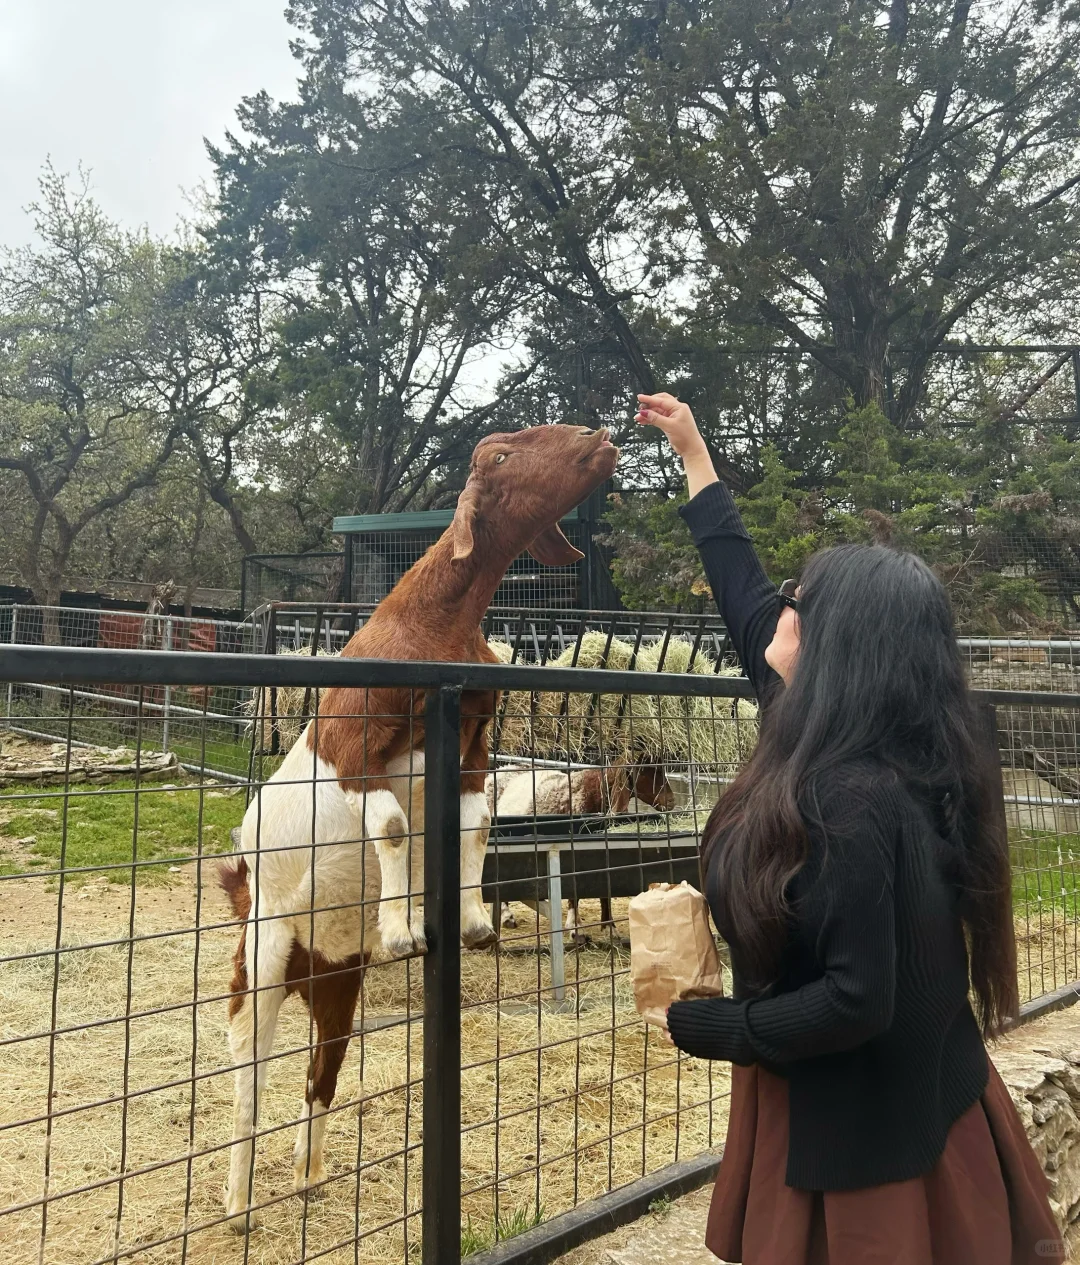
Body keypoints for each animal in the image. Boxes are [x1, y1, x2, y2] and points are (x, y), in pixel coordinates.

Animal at [219, 424, 618, 1229]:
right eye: (500, 455)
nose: (599, 436)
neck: (435, 624)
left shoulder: (470, 753)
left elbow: (472, 829)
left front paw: (469, 922)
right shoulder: (355, 751)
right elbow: (399, 824)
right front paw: (405, 930)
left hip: (337, 975)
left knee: (320, 1066)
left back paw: (308, 1177)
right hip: (264, 950)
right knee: (248, 1060)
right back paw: (238, 1204)